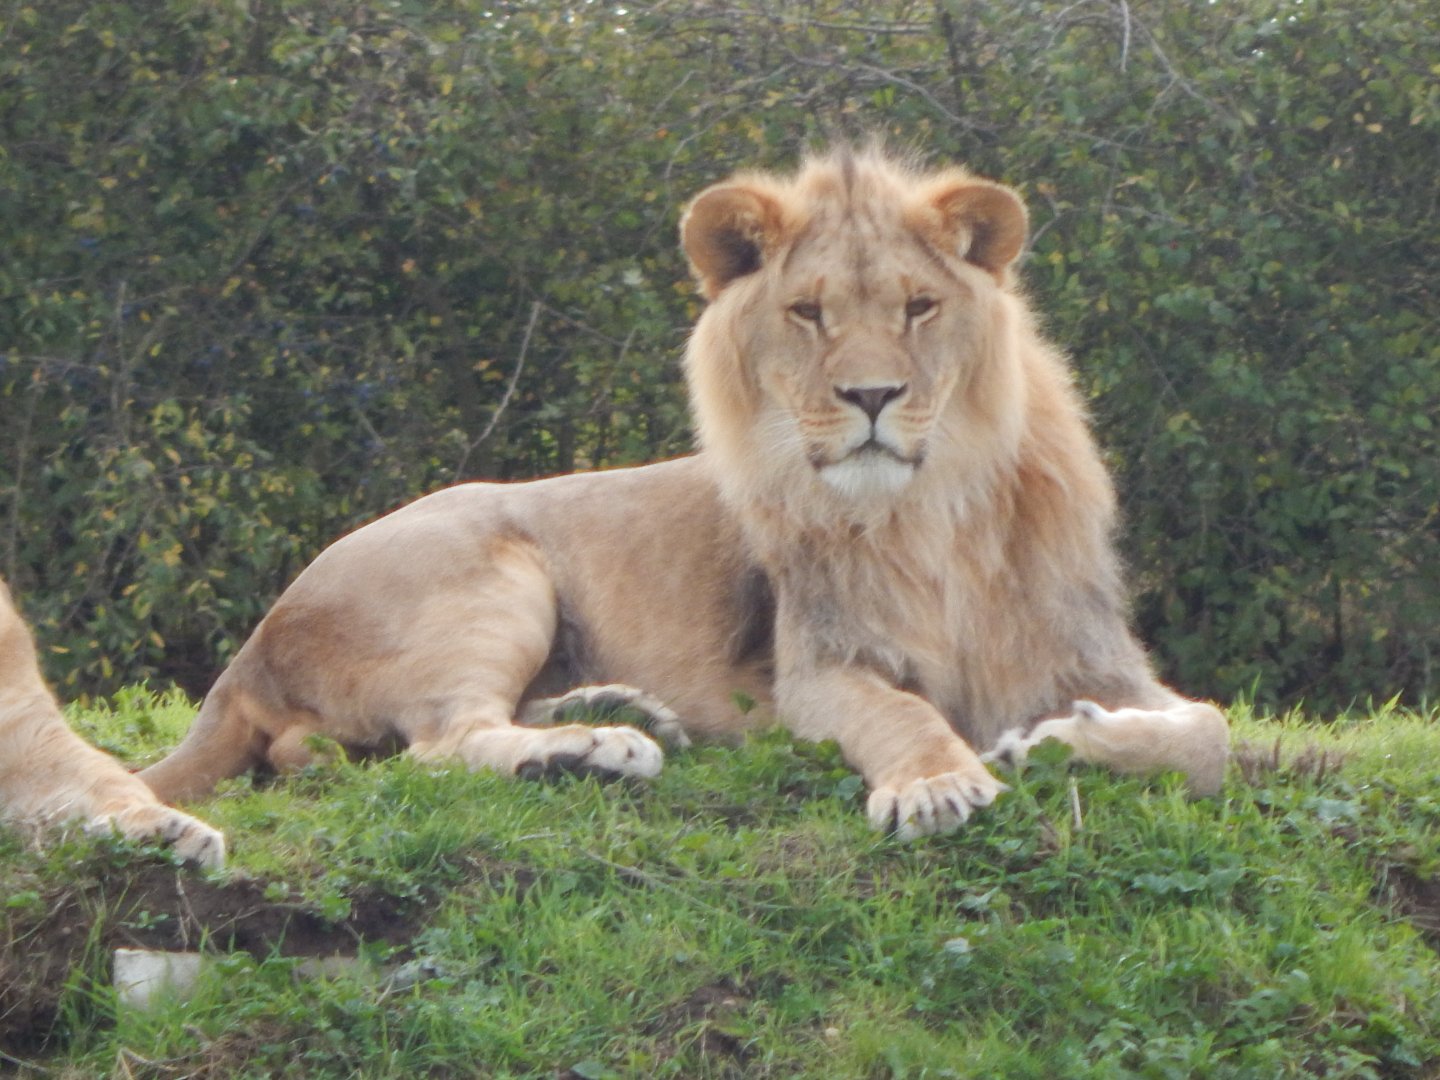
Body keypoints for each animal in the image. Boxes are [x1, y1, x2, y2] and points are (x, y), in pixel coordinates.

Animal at [141, 148, 1228, 839]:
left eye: (919, 309)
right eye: (808, 314)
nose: (871, 396)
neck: (933, 515)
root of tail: (252, 646)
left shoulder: (1096, 655)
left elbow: (1210, 729)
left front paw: (1067, 741)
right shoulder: (817, 671)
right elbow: (904, 717)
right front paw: (938, 787)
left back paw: (619, 708)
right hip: (489, 570)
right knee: (438, 743)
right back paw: (591, 750)